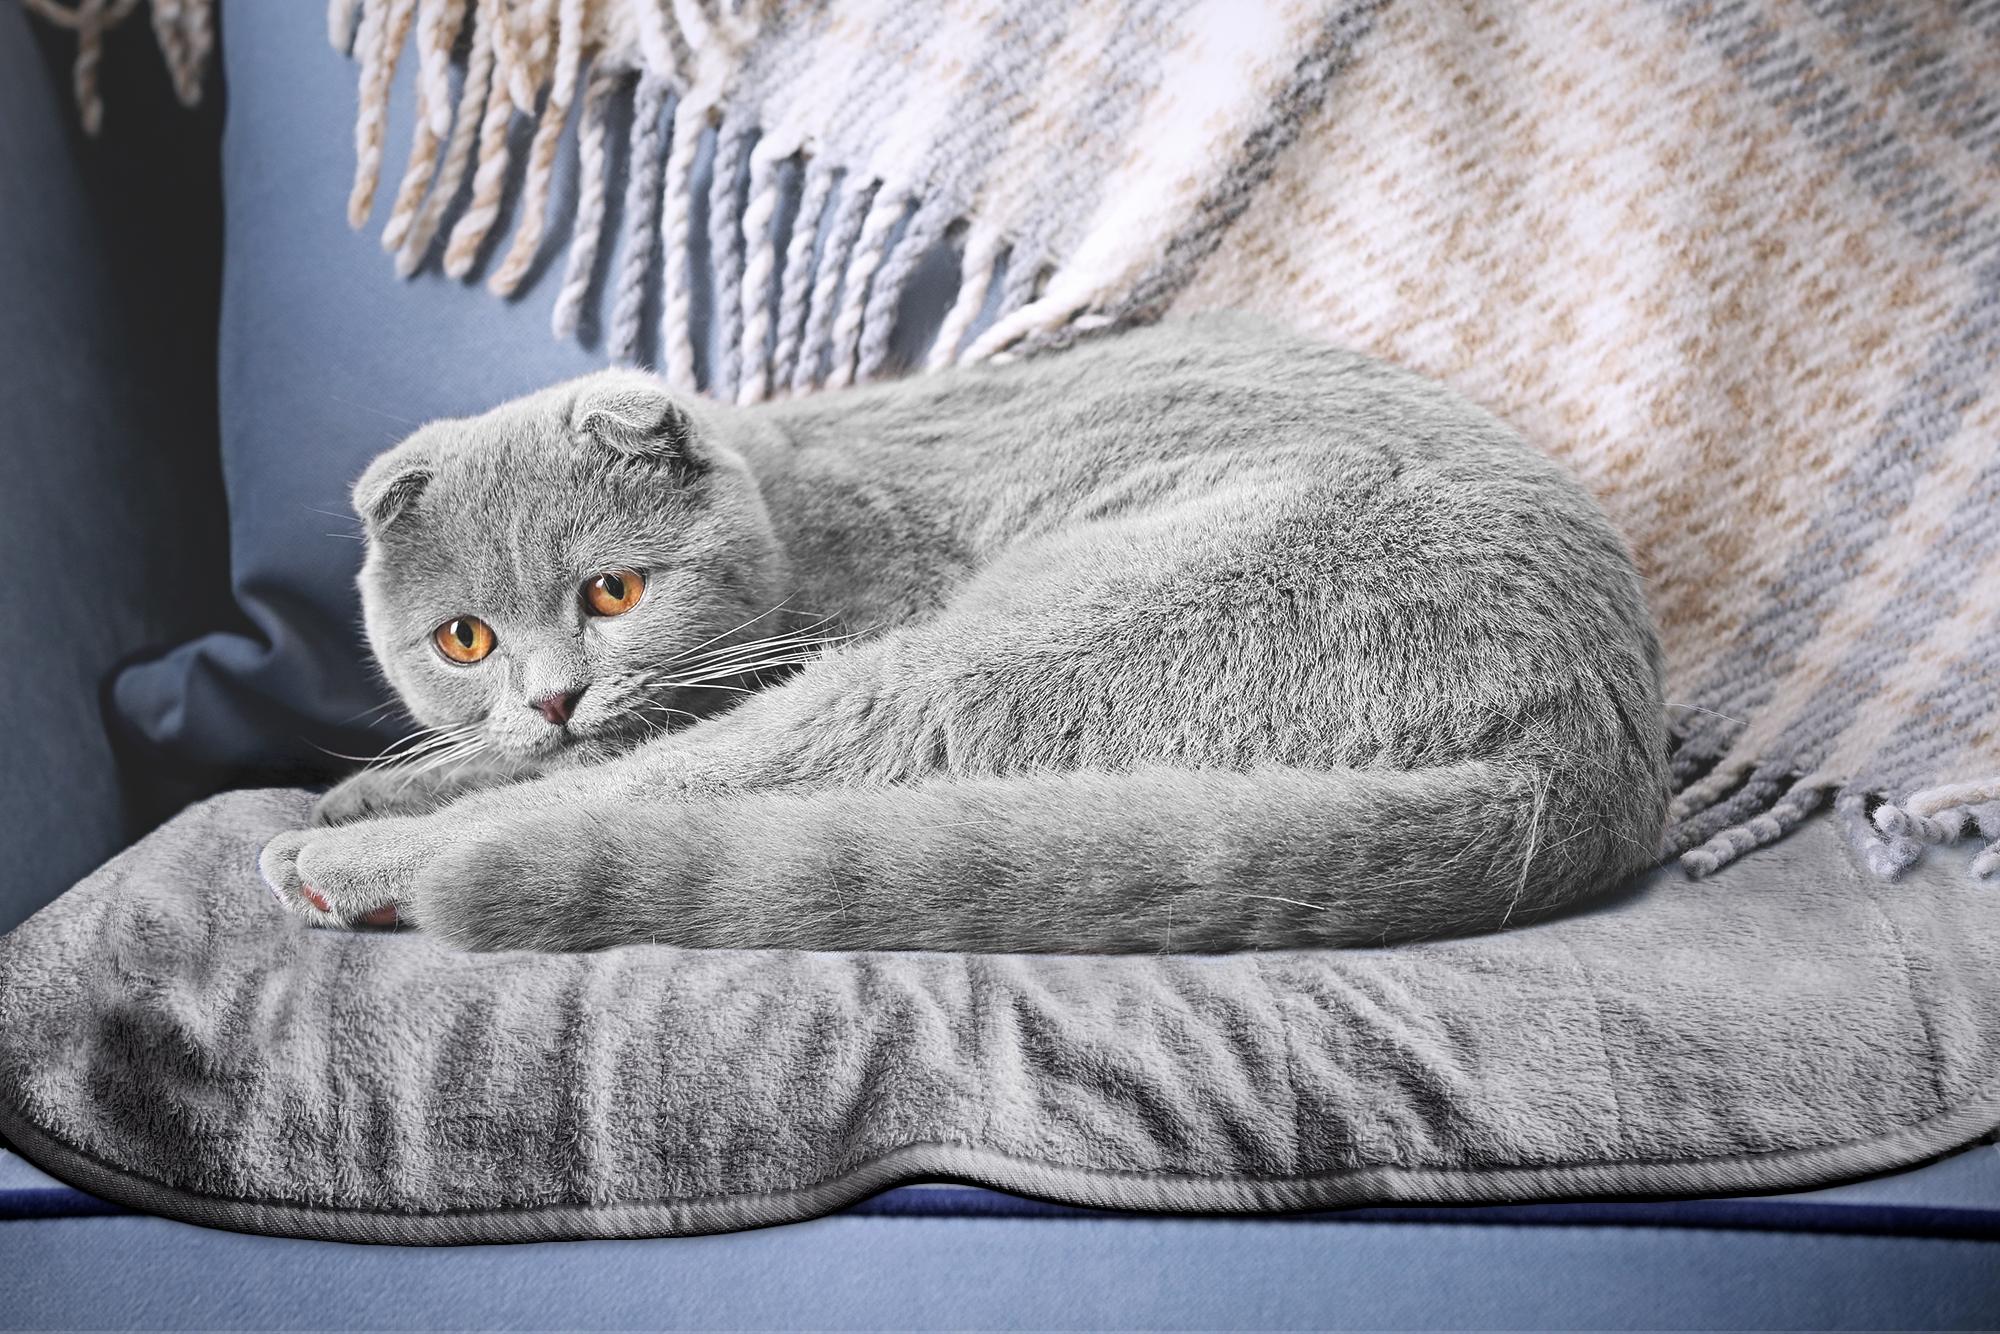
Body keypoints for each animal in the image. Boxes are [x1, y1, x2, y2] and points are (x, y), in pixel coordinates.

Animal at [266, 318, 1672, 956]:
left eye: (612, 593)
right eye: (463, 638)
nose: (550, 694)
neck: (796, 509)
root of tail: (1594, 751)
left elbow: (620, 756)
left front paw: (367, 808)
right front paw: (388, 774)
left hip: (1013, 647)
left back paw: (344, 860)